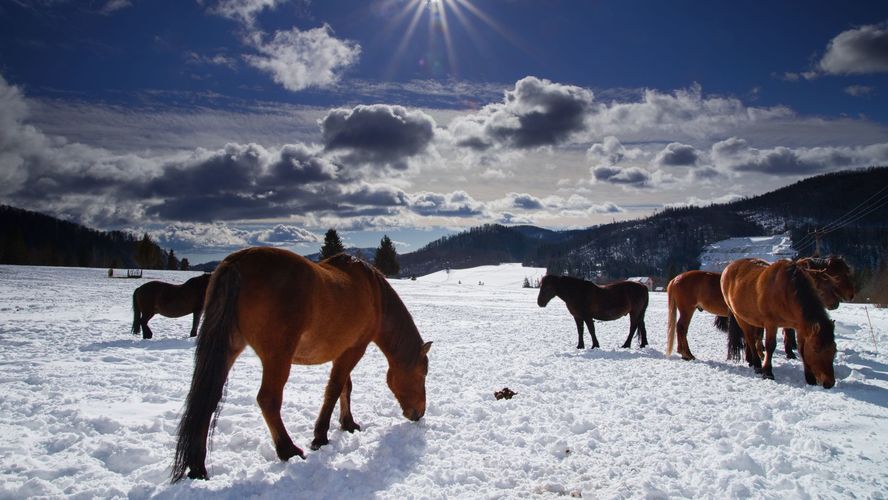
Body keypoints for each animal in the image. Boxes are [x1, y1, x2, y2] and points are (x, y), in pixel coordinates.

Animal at [171, 248, 434, 482]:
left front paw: (347, 423)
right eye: (423, 373)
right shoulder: (354, 349)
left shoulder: (342, 350)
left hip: (229, 347)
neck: (373, 293)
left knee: (209, 398)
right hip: (277, 356)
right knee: (268, 399)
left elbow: (345, 388)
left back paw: (197, 467)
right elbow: (334, 389)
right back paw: (288, 450)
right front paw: (320, 436)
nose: (419, 413)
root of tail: (237, 263)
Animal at [720, 260, 836, 388]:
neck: (787, 291)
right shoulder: (771, 324)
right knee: (750, 338)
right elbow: (770, 346)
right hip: (739, 317)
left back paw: (750, 360)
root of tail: (728, 268)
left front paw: (810, 378)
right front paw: (768, 372)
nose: (829, 383)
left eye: (834, 350)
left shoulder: (800, 327)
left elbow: (801, 349)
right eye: (816, 349)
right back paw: (757, 364)